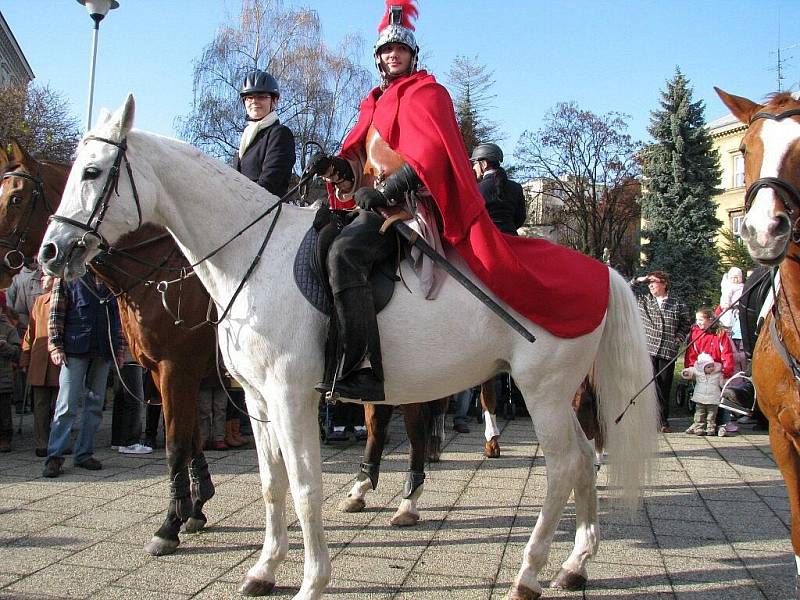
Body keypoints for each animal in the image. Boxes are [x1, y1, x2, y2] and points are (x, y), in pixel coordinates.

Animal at [39, 96, 656, 600]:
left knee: (564, 466)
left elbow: (305, 486)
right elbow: (271, 485)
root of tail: (603, 271)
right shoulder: (257, 402)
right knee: (582, 460)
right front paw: (263, 569)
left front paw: (311, 581)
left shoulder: (286, 395)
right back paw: (574, 564)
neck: (250, 256)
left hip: (542, 392)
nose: (50, 252)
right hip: (556, 393)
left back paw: (528, 573)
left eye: (93, 171)